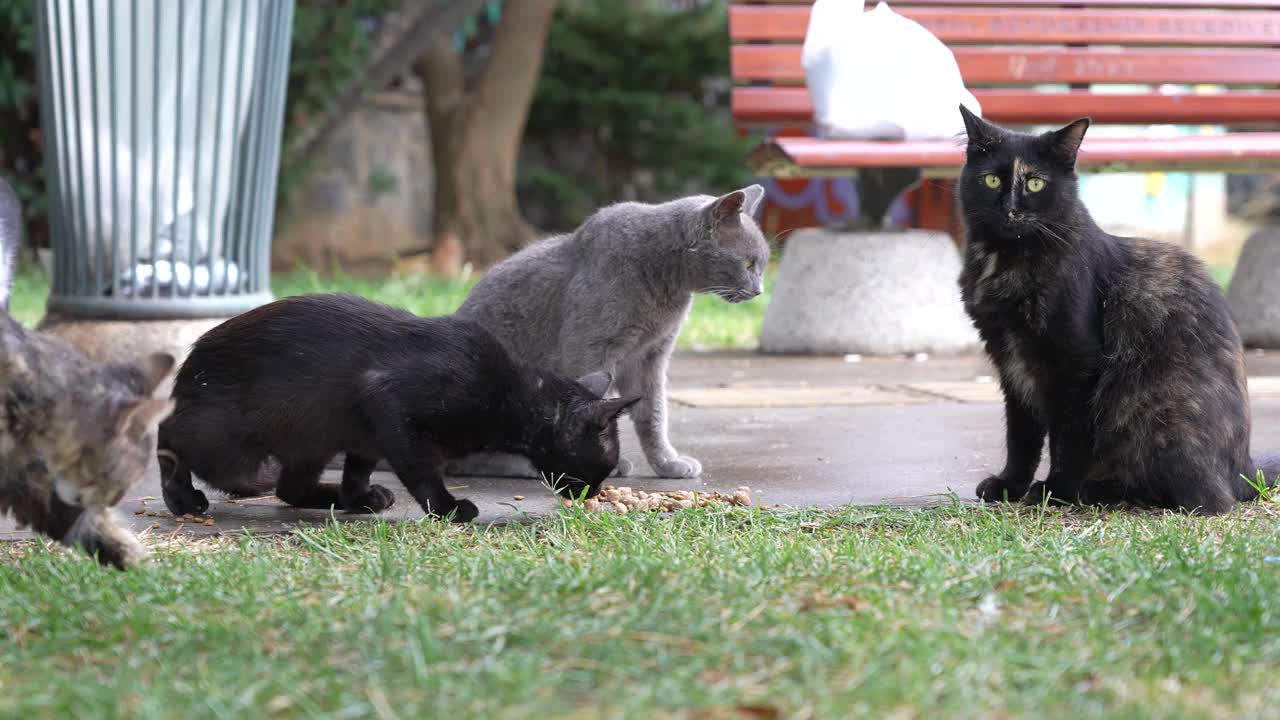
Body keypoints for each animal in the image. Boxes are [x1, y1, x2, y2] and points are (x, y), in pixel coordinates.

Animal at [160, 292, 640, 520]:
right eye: (604, 467)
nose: (592, 493)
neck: (511, 394)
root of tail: (193, 359)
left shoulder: (367, 436)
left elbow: (358, 469)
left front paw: (358, 497)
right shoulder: (390, 404)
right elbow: (422, 470)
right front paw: (447, 509)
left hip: (312, 440)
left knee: (289, 490)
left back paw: (337, 498)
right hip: (229, 442)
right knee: (170, 437)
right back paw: (182, 498)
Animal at [455, 184, 762, 476]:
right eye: (749, 263)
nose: (759, 290)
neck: (665, 282)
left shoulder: (650, 356)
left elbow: (652, 413)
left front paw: (667, 463)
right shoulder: (591, 349)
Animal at [962, 105, 1280, 509]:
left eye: (1035, 183)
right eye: (990, 180)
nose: (1011, 210)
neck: (1005, 257)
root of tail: (1244, 473)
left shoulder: (1076, 363)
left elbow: (1068, 438)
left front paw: (1056, 491)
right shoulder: (1011, 364)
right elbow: (1021, 435)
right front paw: (1009, 485)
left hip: (1147, 408)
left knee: (1203, 500)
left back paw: (1100, 491)